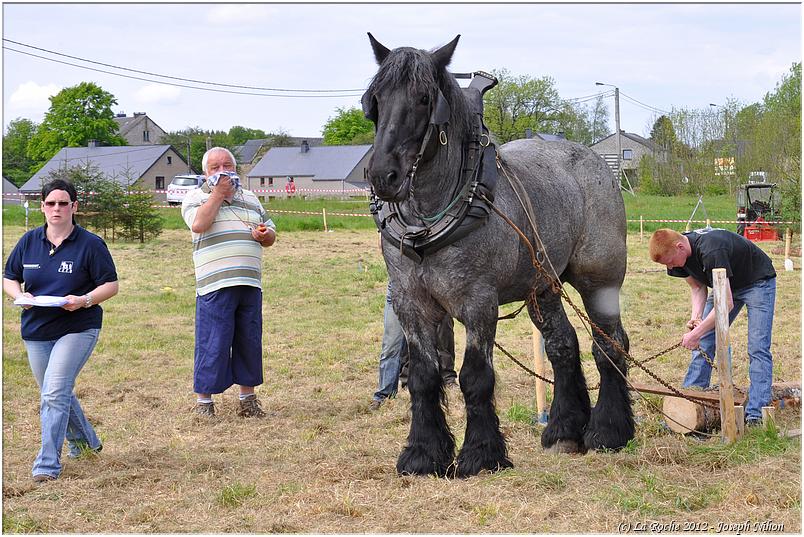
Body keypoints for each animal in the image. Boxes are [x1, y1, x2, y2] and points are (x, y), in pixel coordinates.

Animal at [364, 34, 636, 478]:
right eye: (375, 100)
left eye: (424, 99)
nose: (382, 176)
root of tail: (597, 163)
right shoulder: (410, 302)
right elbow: (422, 376)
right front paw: (423, 453)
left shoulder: (478, 302)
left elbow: (475, 377)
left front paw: (480, 454)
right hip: (543, 287)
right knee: (563, 345)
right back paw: (563, 430)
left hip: (600, 280)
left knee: (609, 344)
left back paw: (609, 431)